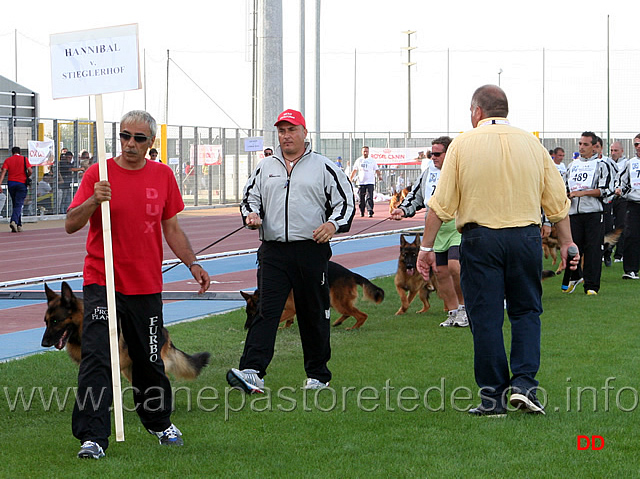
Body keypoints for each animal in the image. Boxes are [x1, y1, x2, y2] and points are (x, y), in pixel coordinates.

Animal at [242, 260, 384, 332]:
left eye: (252, 314)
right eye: (247, 313)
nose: (246, 328)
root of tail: (351, 274)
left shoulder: (291, 308)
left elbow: (281, 317)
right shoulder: (291, 308)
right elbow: (288, 319)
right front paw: (286, 326)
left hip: (337, 301)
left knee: (362, 315)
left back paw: (353, 328)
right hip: (335, 300)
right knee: (349, 312)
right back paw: (338, 322)